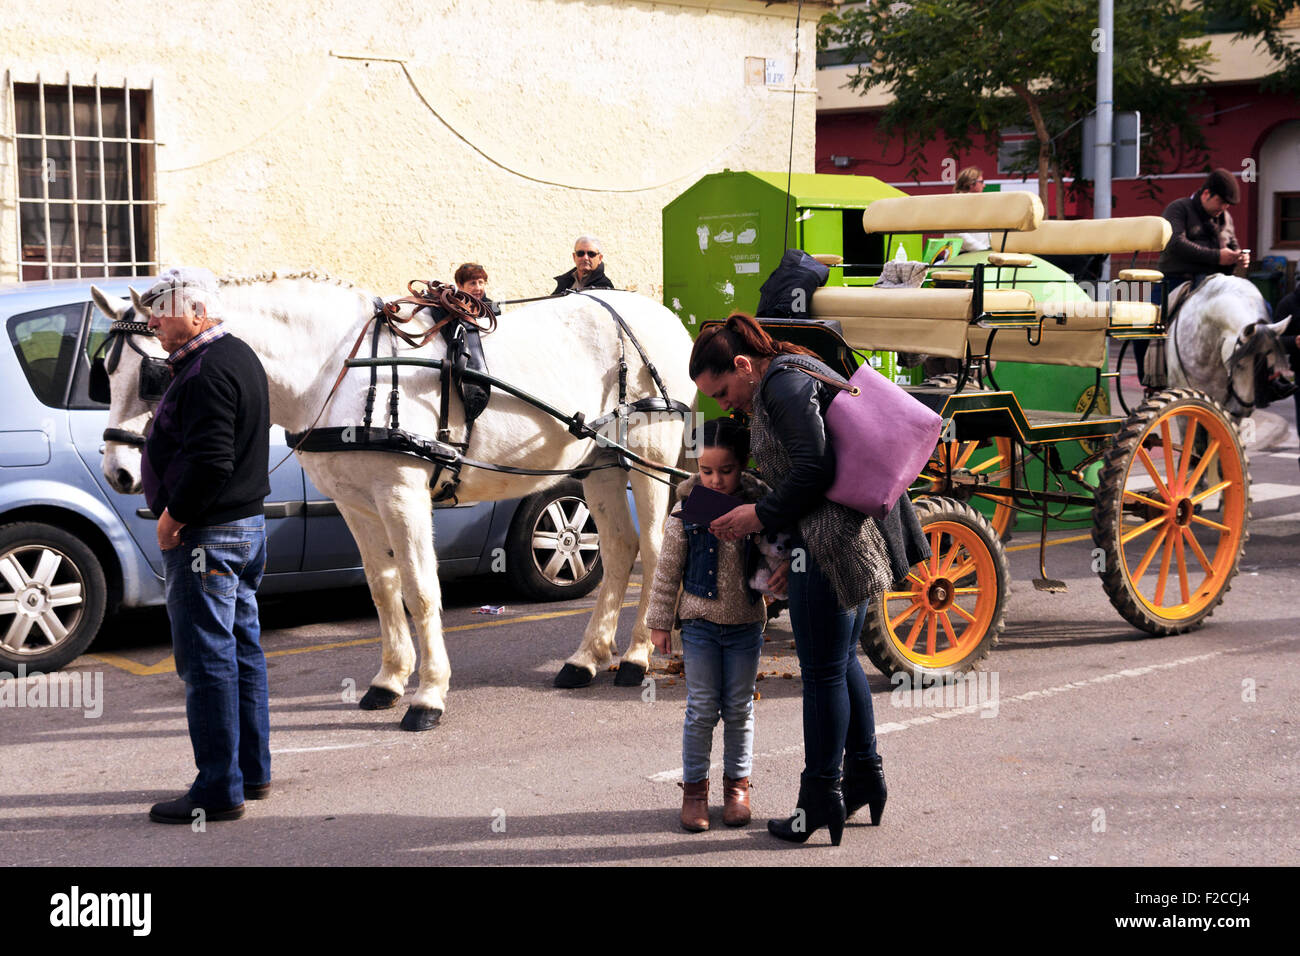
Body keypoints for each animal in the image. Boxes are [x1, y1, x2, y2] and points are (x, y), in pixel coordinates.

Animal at [91, 277, 696, 733]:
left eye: (157, 375)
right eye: (106, 375)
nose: (119, 472)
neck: (338, 370)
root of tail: (657, 312)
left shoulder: (403, 496)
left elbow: (422, 592)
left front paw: (428, 696)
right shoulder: (355, 504)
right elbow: (384, 591)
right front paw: (388, 681)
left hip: (647, 455)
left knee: (655, 550)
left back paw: (637, 656)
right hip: (601, 463)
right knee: (618, 549)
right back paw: (587, 658)